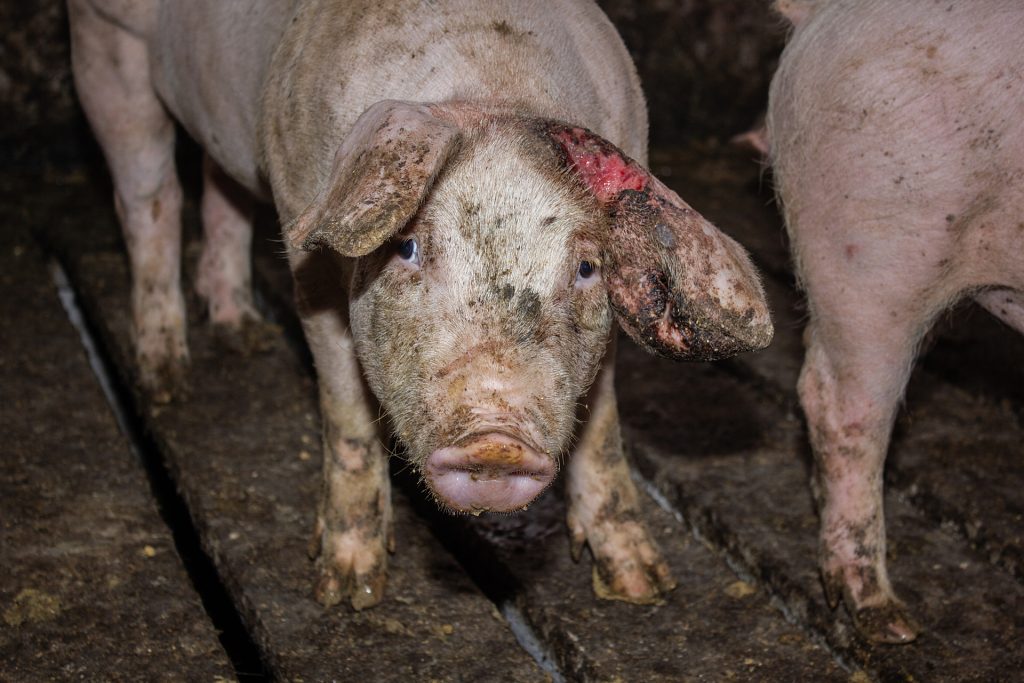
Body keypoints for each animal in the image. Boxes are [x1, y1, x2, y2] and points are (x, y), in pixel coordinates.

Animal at [69, 0, 773, 610]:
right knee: (150, 201)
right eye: (407, 246)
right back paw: (166, 380)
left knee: (220, 189)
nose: (496, 441)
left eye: (586, 267)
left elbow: (601, 429)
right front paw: (346, 592)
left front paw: (644, 586)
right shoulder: (306, 231)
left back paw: (241, 332)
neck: (495, 87)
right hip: (108, 49)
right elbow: (346, 413)